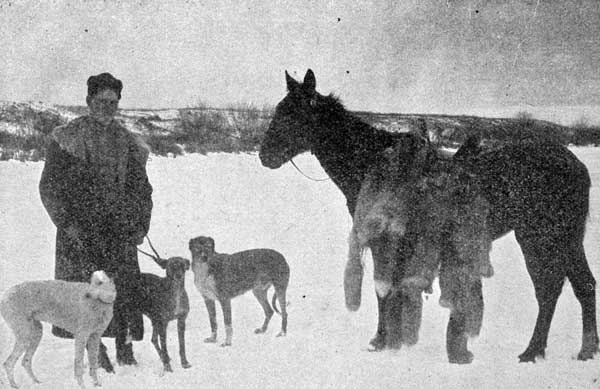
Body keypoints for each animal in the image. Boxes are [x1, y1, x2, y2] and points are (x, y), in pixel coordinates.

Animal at [260, 68, 596, 362]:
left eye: (292, 113)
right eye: (280, 109)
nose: (265, 156)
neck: (371, 164)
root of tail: (577, 165)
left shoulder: (384, 241)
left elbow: (382, 289)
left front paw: (381, 340)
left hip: (539, 238)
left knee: (549, 290)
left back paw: (532, 351)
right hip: (564, 239)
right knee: (582, 286)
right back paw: (581, 350)